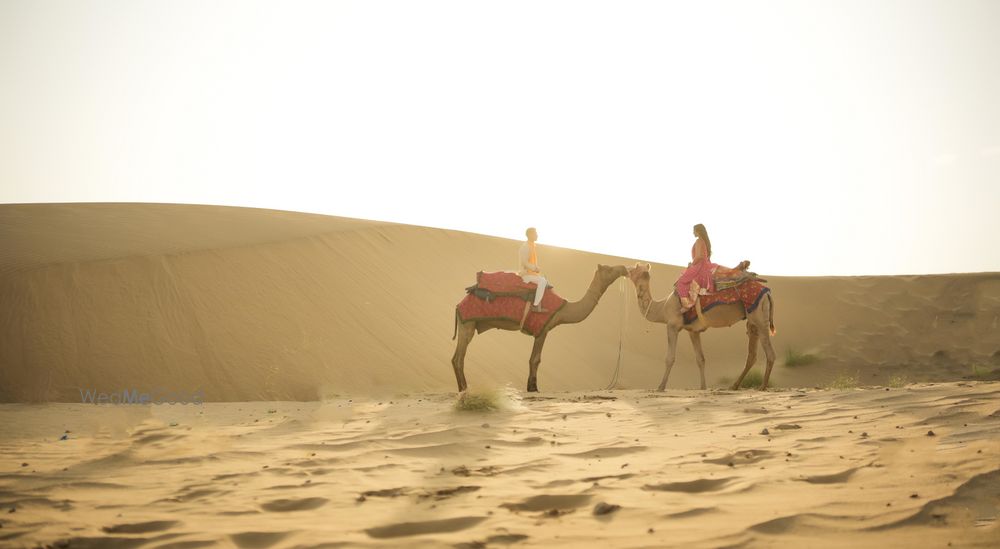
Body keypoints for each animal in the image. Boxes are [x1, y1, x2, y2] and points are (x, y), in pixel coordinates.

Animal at [452, 264, 624, 392]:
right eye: (609, 269)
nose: (623, 268)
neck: (563, 310)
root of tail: (459, 304)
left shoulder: (540, 330)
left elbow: (533, 359)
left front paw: (531, 387)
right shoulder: (542, 329)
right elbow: (535, 359)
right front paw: (534, 388)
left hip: (466, 324)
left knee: (456, 358)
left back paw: (462, 388)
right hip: (468, 324)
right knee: (459, 358)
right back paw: (464, 389)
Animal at [628, 262, 776, 388]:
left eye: (633, 269)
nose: (625, 269)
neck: (663, 308)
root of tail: (767, 292)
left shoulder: (672, 325)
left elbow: (670, 358)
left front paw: (661, 387)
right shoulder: (693, 331)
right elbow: (700, 359)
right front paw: (703, 387)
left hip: (759, 316)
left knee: (769, 353)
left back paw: (762, 387)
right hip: (752, 321)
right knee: (752, 355)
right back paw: (734, 386)